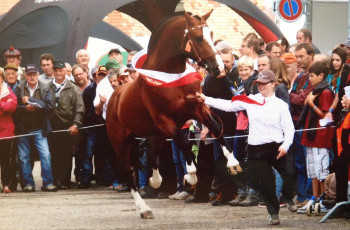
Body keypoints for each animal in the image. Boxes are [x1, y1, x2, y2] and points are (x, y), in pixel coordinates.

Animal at [105, 10, 241, 219]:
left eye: (211, 34)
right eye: (198, 37)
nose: (219, 68)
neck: (171, 79)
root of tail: (114, 98)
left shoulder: (197, 109)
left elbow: (216, 127)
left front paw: (233, 163)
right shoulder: (165, 122)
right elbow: (184, 143)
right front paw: (191, 176)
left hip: (154, 136)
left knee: (151, 157)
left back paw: (155, 182)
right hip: (122, 143)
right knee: (129, 172)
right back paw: (144, 209)